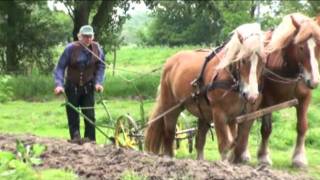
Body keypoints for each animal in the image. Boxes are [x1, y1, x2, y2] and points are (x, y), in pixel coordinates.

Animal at [145, 22, 264, 160]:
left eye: (262, 61)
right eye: (244, 60)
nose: (252, 95)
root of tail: (170, 62)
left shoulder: (233, 117)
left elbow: (233, 143)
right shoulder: (219, 114)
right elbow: (224, 145)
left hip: (203, 113)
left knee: (199, 140)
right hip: (171, 106)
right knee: (169, 134)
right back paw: (168, 158)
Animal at [256, 12, 320, 167]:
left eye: (319, 46)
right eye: (301, 47)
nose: (314, 81)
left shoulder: (304, 99)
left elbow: (302, 126)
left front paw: (299, 158)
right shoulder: (268, 100)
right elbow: (266, 128)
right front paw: (263, 156)